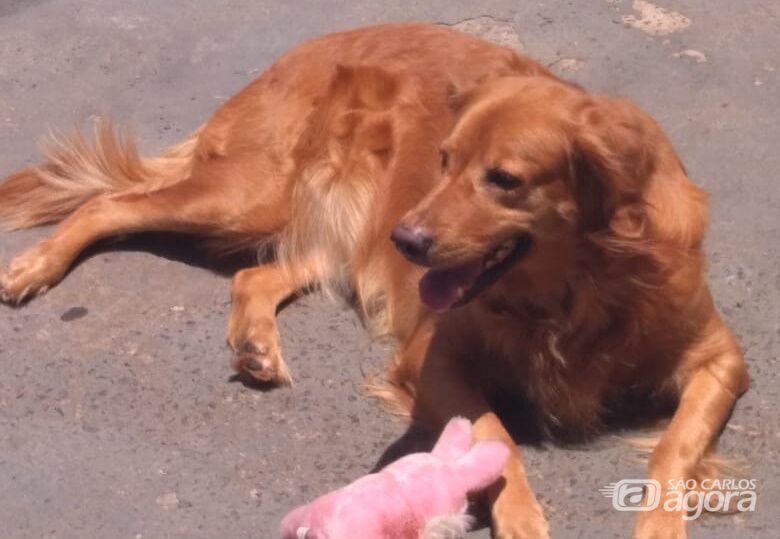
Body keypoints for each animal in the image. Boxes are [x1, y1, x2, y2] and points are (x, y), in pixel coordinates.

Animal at [0, 23, 748, 536]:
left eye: (504, 180)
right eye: (443, 159)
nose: (409, 242)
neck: (578, 288)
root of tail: (294, 52)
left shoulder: (722, 358)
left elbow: (674, 447)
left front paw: (660, 522)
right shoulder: (430, 356)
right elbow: (497, 436)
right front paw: (521, 516)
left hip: (335, 227)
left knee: (254, 272)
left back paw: (256, 344)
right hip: (253, 194)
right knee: (109, 204)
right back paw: (33, 266)